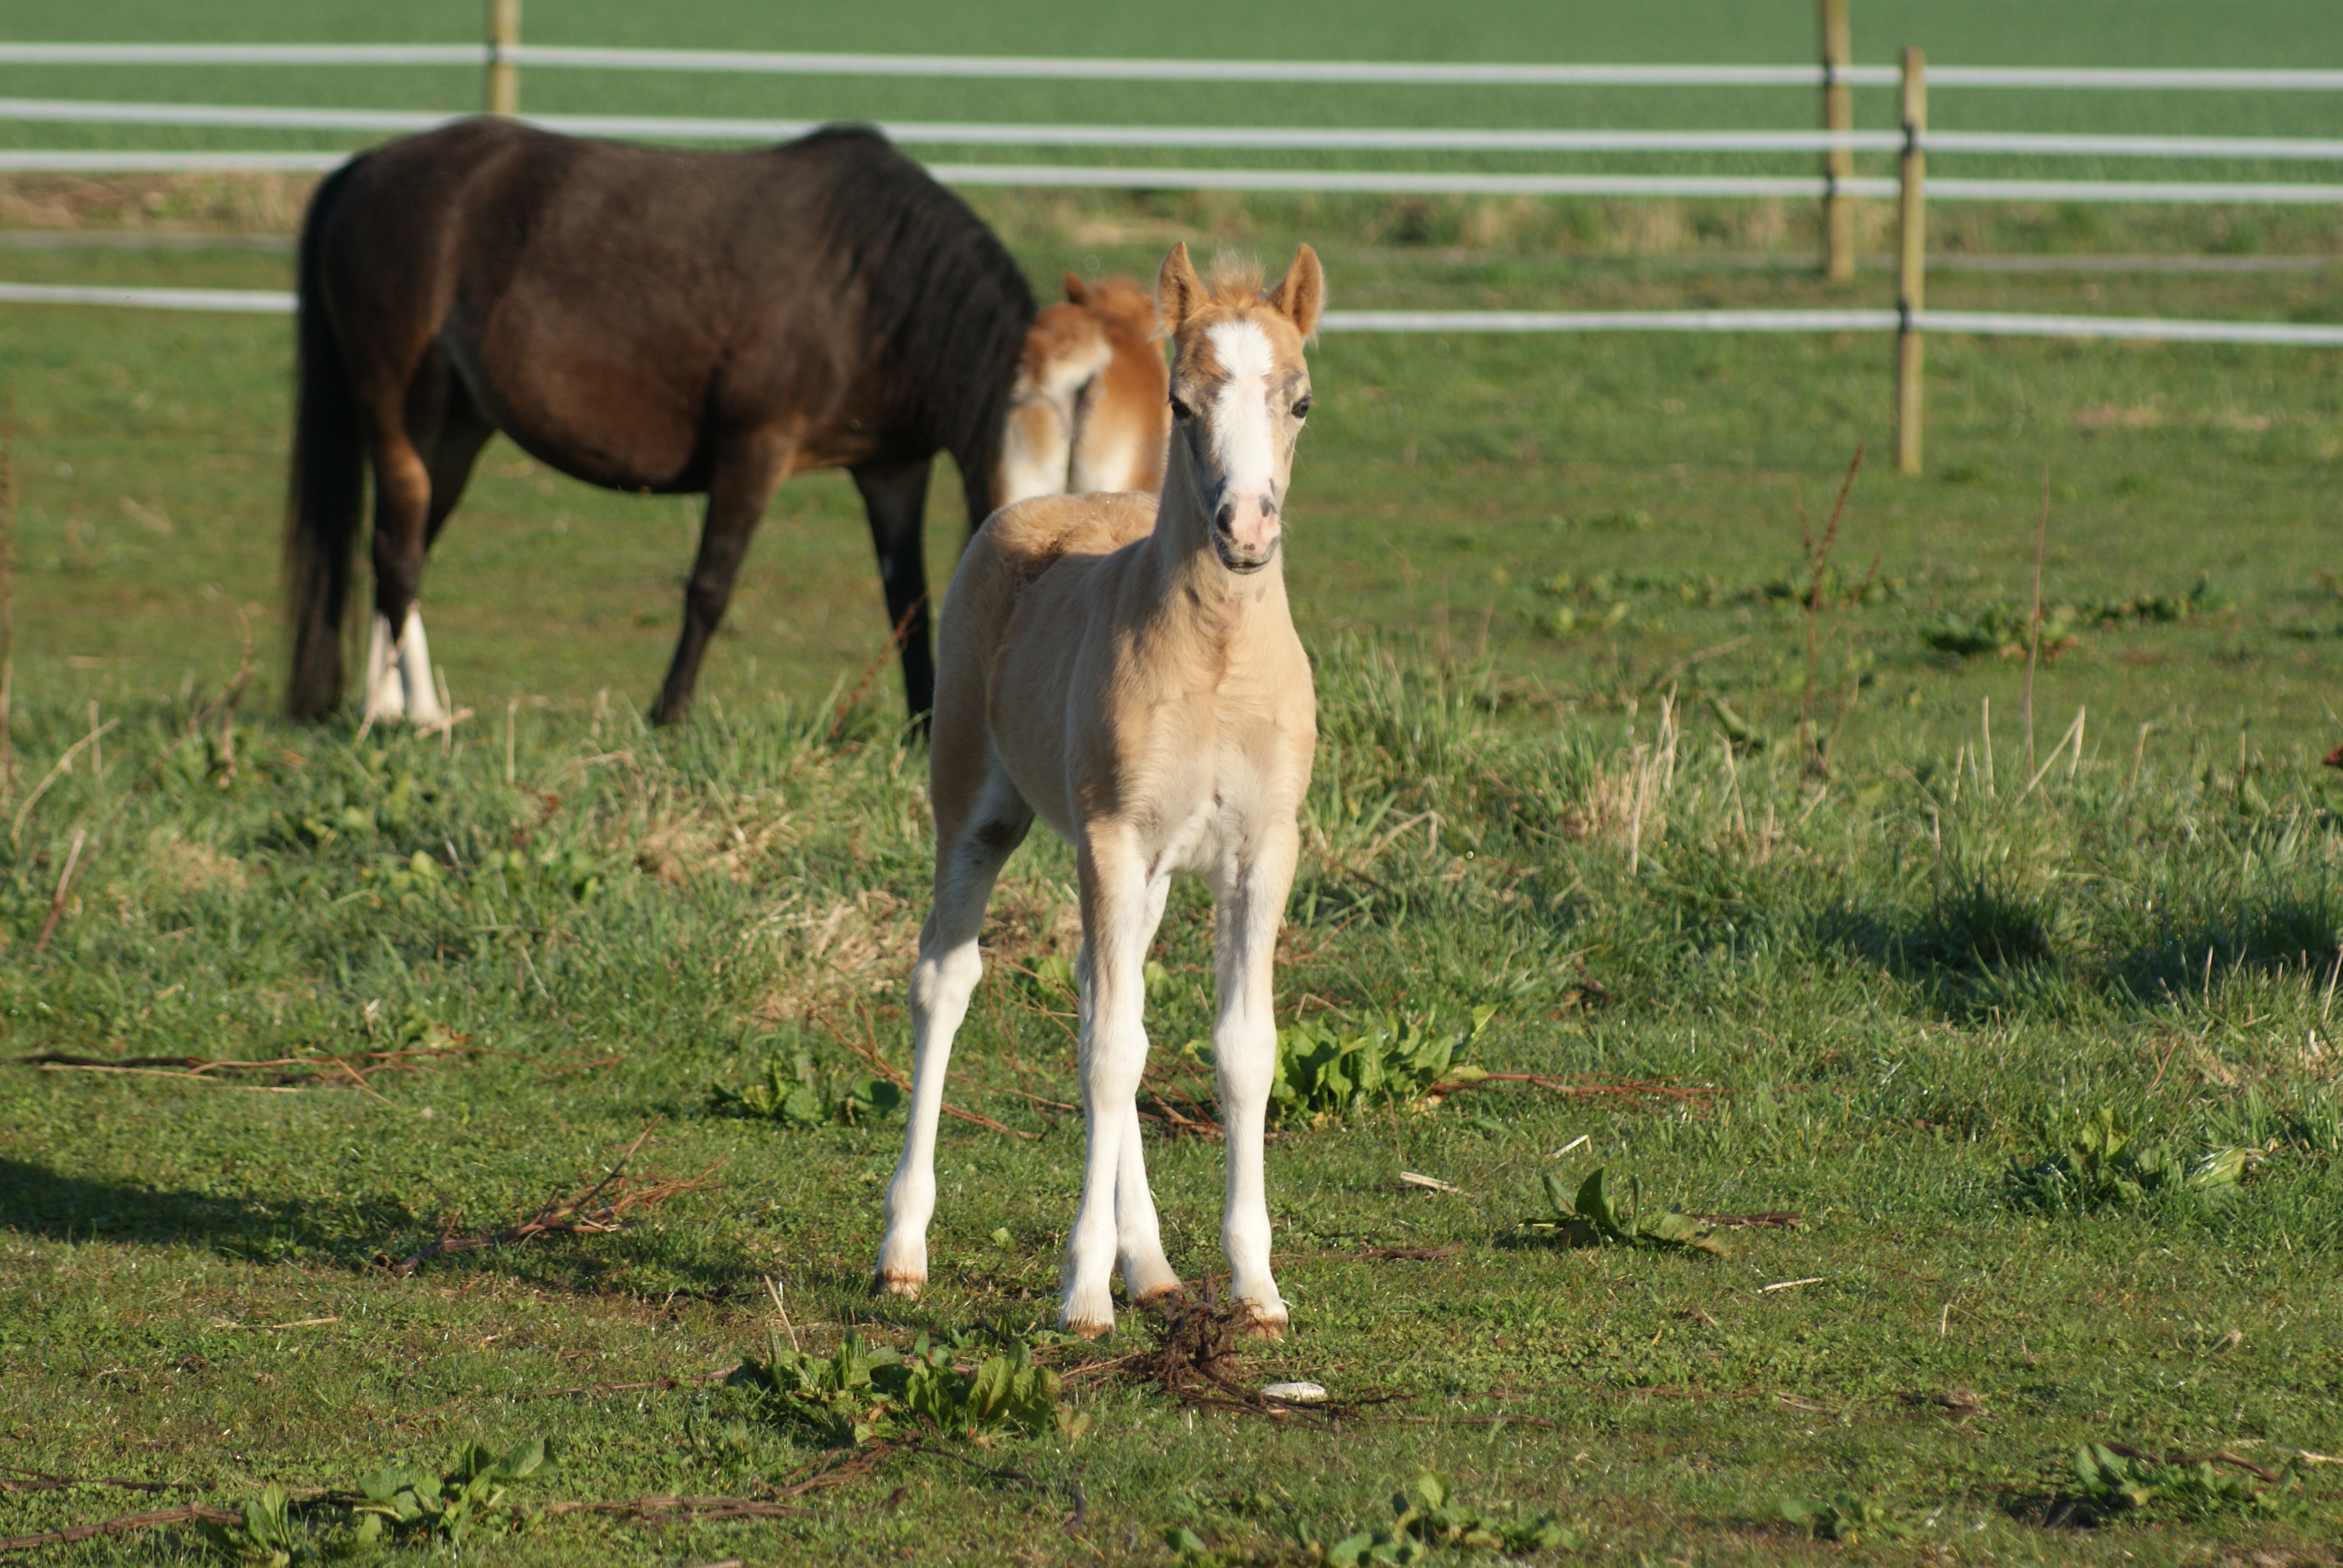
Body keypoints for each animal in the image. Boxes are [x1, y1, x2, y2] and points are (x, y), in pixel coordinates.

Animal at [281, 118, 1034, 728]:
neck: (870, 281)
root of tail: (369, 168)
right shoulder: (755, 449)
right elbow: (709, 588)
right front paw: (668, 713)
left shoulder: (891, 470)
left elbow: (908, 602)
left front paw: (924, 724)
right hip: (397, 411)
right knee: (397, 552)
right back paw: (404, 715)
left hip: (458, 429)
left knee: (402, 546)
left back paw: (399, 708)